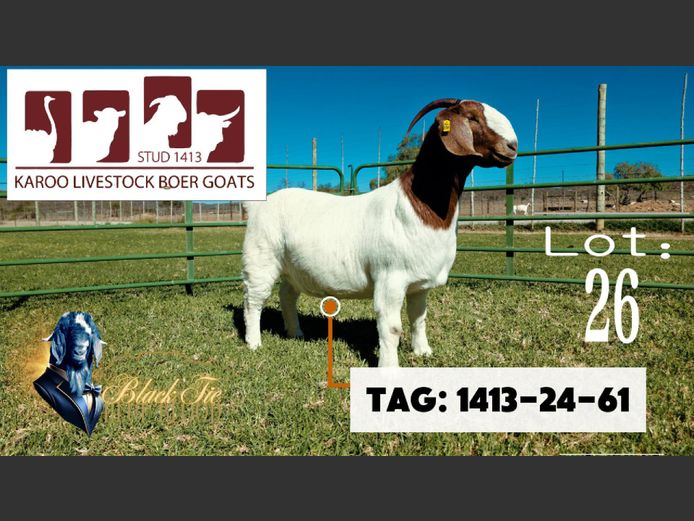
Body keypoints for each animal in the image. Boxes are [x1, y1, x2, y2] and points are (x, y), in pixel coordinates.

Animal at [242, 99, 518, 367]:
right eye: (471, 118)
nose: (512, 146)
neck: (419, 205)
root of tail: (256, 205)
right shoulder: (390, 278)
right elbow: (392, 328)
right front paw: (389, 369)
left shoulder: (420, 284)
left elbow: (419, 318)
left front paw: (423, 352)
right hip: (261, 257)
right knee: (253, 300)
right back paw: (254, 343)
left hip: (292, 267)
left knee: (287, 295)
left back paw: (295, 333)